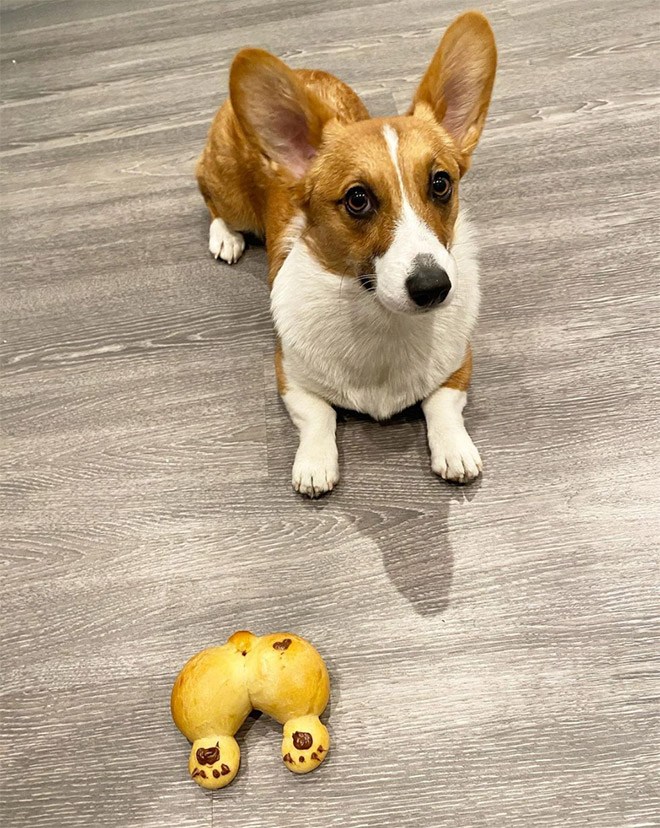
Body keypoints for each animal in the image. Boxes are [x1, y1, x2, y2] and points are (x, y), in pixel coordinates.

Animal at [199, 11, 498, 498]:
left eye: (441, 183)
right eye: (358, 199)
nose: (433, 287)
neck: (381, 318)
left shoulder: (459, 365)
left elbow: (442, 404)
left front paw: (455, 449)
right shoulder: (290, 377)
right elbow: (319, 415)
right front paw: (315, 464)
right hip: (228, 192)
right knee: (213, 203)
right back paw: (225, 237)